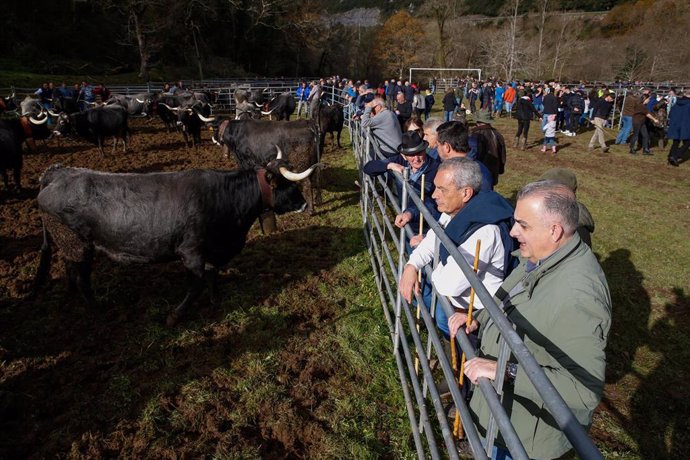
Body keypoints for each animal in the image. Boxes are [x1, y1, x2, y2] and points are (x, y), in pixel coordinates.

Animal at [33, 151, 318, 324]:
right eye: (287, 184)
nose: (304, 204)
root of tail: (58, 172)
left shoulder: (212, 250)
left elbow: (212, 276)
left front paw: (216, 300)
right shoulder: (191, 252)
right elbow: (197, 283)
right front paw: (176, 315)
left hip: (70, 243)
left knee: (71, 269)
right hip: (78, 244)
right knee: (82, 277)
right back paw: (96, 309)